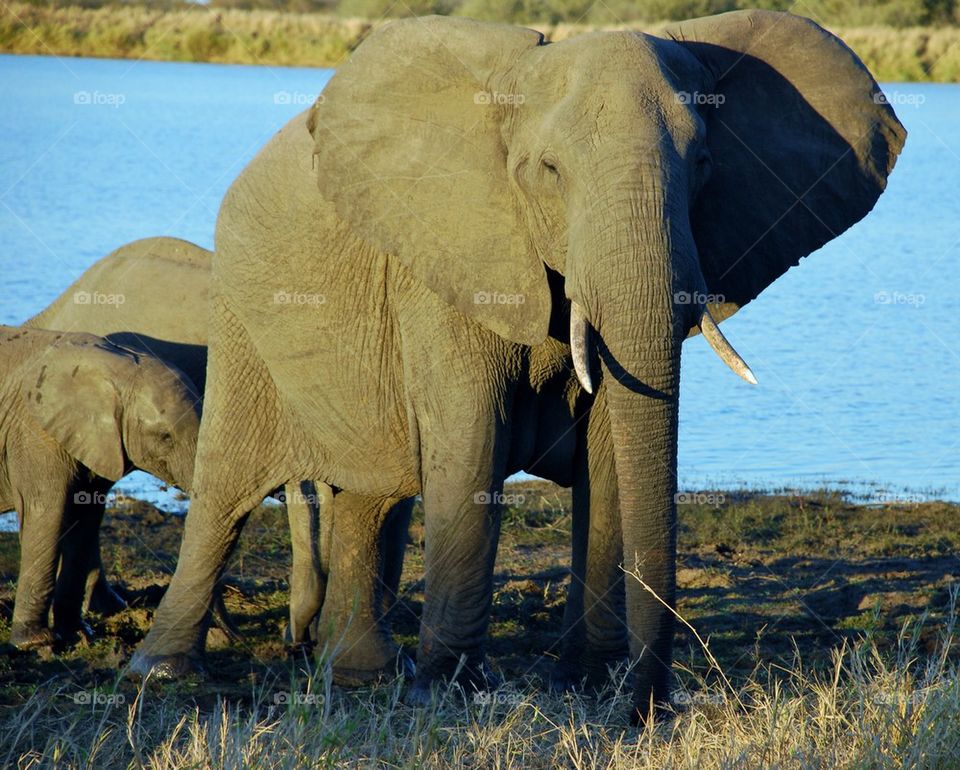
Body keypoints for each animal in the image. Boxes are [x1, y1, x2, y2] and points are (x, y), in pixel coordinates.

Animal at [0, 320, 199, 644]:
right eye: (165, 437)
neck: (117, 366)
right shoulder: (34, 433)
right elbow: (45, 515)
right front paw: (36, 642)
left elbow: (85, 521)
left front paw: (77, 634)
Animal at [129, 12, 908, 720]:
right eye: (549, 171)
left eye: (705, 167)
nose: (652, 708)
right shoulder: (446, 255)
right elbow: (473, 439)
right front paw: (451, 691)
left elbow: (609, 456)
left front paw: (588, 684)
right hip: (239, 316)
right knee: (227, 487)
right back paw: (163, 673)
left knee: (373, 495)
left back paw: (360, 678)